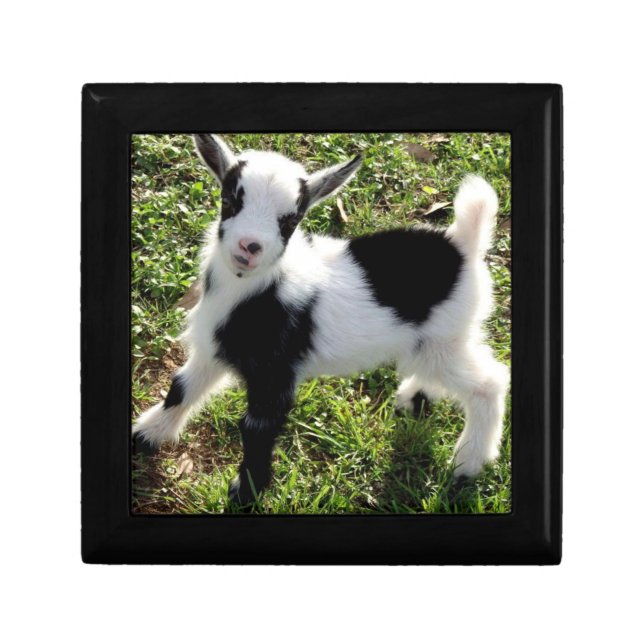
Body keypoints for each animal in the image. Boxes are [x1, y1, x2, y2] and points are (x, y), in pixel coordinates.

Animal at [133, 134, 510, 506]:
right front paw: (146, 434)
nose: (249, 246)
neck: (256, 290)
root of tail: (462, 244)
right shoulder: (213, 349)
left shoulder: (275, 376)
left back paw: (468, 462)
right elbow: (181, 388)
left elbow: (257, 430)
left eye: (290, 221)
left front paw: (246, 494)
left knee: (489, 382)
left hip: (443, 340)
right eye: (229, 200)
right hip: (443, 338)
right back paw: (415, 397)